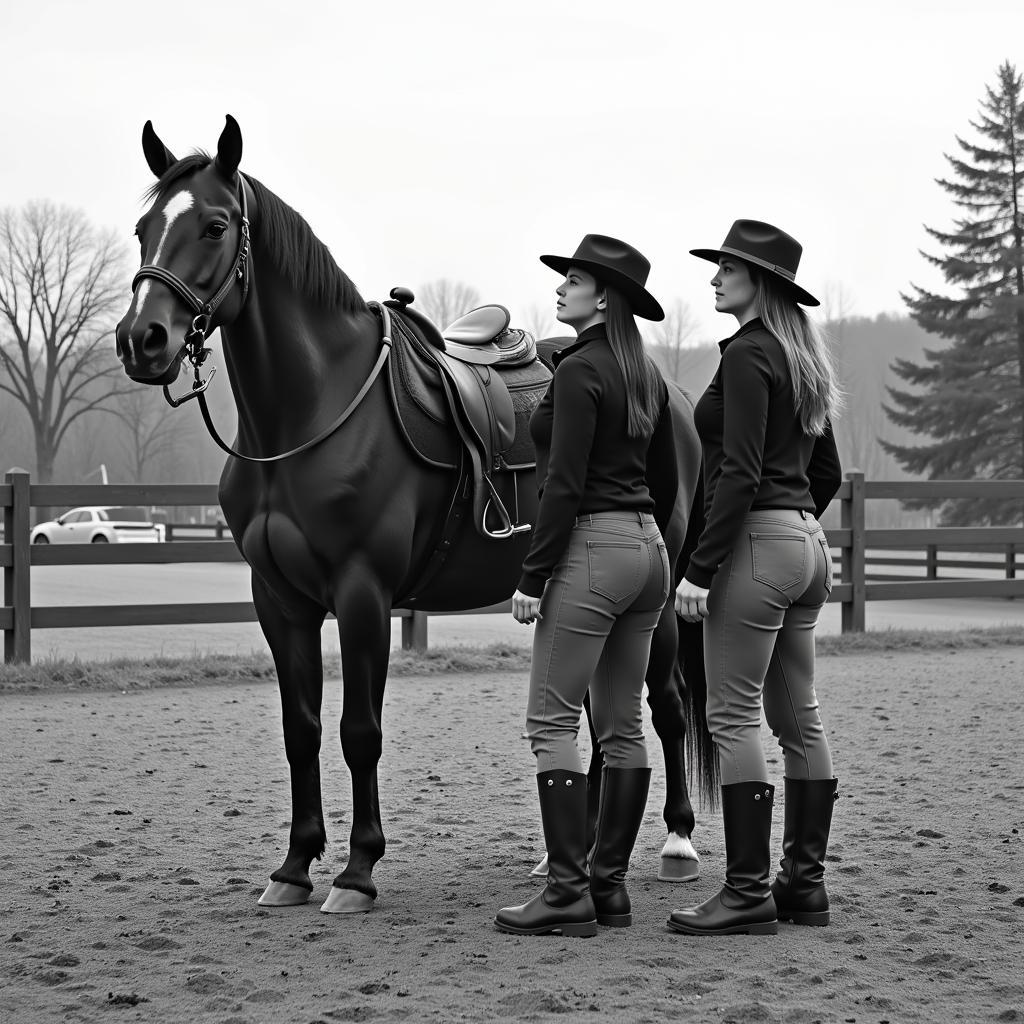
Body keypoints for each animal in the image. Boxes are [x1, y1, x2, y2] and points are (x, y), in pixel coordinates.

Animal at [114, 116, 712, 917]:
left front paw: (357, 870)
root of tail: (666, 392)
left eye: (214, 225)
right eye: (144, 227)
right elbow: (301, 730)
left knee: (668, 703)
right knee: (595, 705)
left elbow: (358, 731)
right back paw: (576, 854)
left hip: (663, 589)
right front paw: (294, 865)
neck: (313, 413)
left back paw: (677, 842)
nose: (141, 339)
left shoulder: (362, 593)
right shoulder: (280, 600)